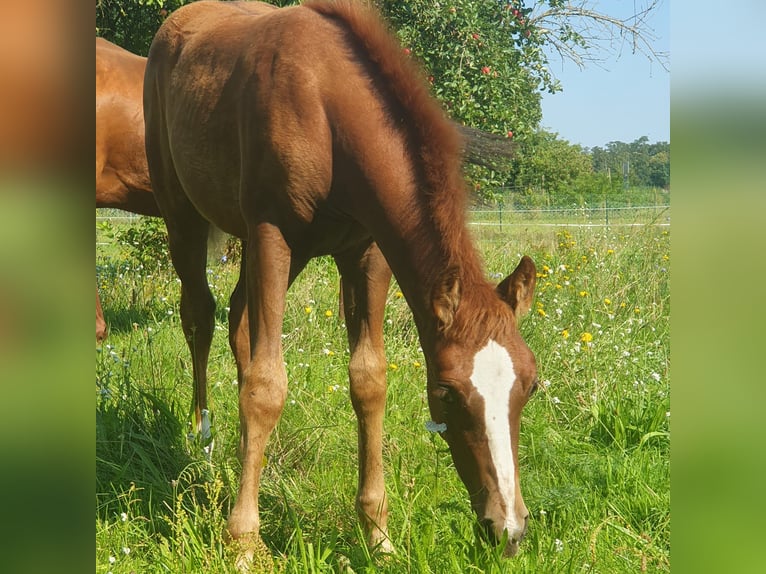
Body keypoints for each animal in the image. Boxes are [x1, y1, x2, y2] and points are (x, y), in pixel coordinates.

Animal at [144, 0, 540, 564]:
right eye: (446, 393)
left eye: (531, 385)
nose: (508, 530)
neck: (326, 105)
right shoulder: (271, 233)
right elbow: (267, 386)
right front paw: (243, 542)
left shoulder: (366, 252)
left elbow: (368, 380)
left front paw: (377, 535)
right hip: (182, 213)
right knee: (199, 314)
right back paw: (203, 441)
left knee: (239, 318)